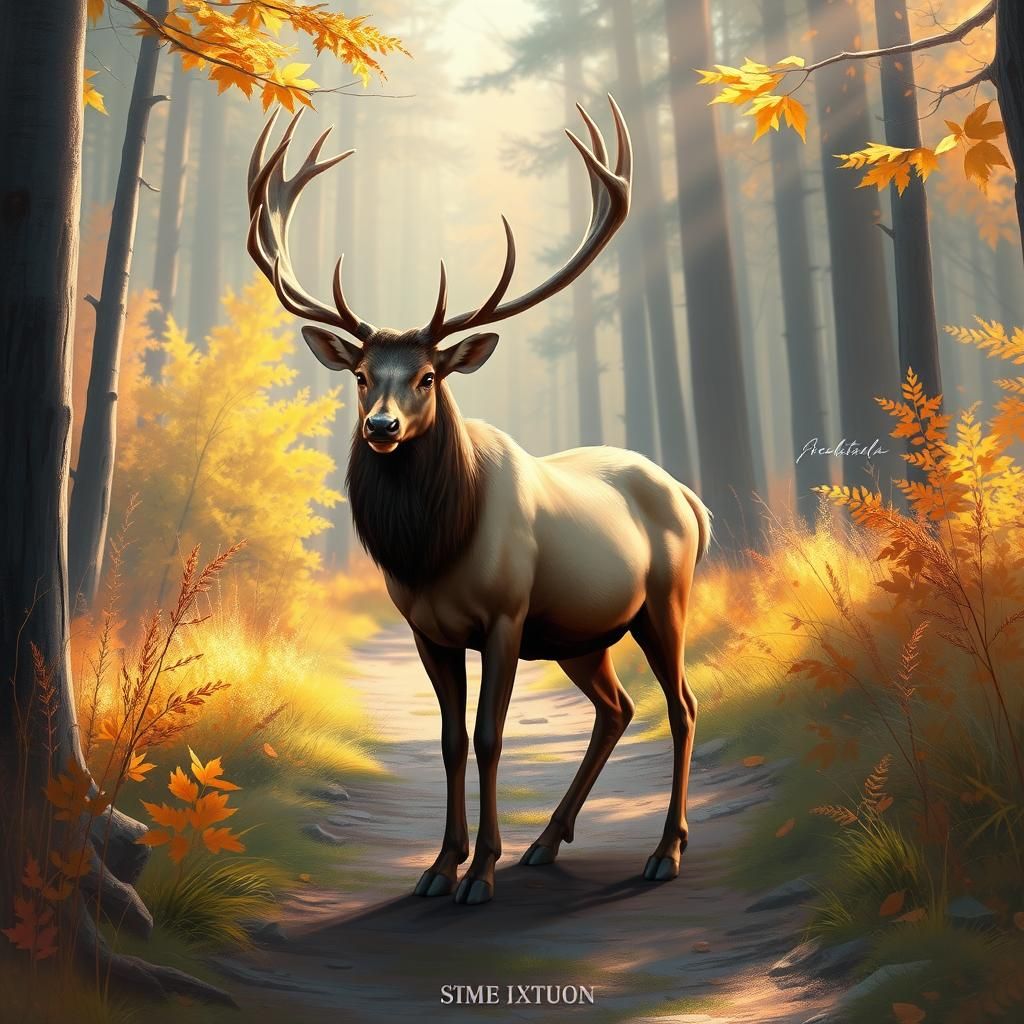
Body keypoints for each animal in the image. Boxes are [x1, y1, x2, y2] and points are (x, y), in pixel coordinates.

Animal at [247, 98, 711, 906]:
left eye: (428, 375)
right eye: (362, 376)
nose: (381, 428)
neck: (435, 550)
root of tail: (691, 498)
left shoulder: (505, 615)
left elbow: (493, 737)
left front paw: (481, 870)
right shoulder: (426, 628)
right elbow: (450, 739)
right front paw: (440, 865)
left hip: (663, 601)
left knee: (680, 706)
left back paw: (665, 851)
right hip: (582, 633)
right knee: (616, 708)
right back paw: (548, 842)